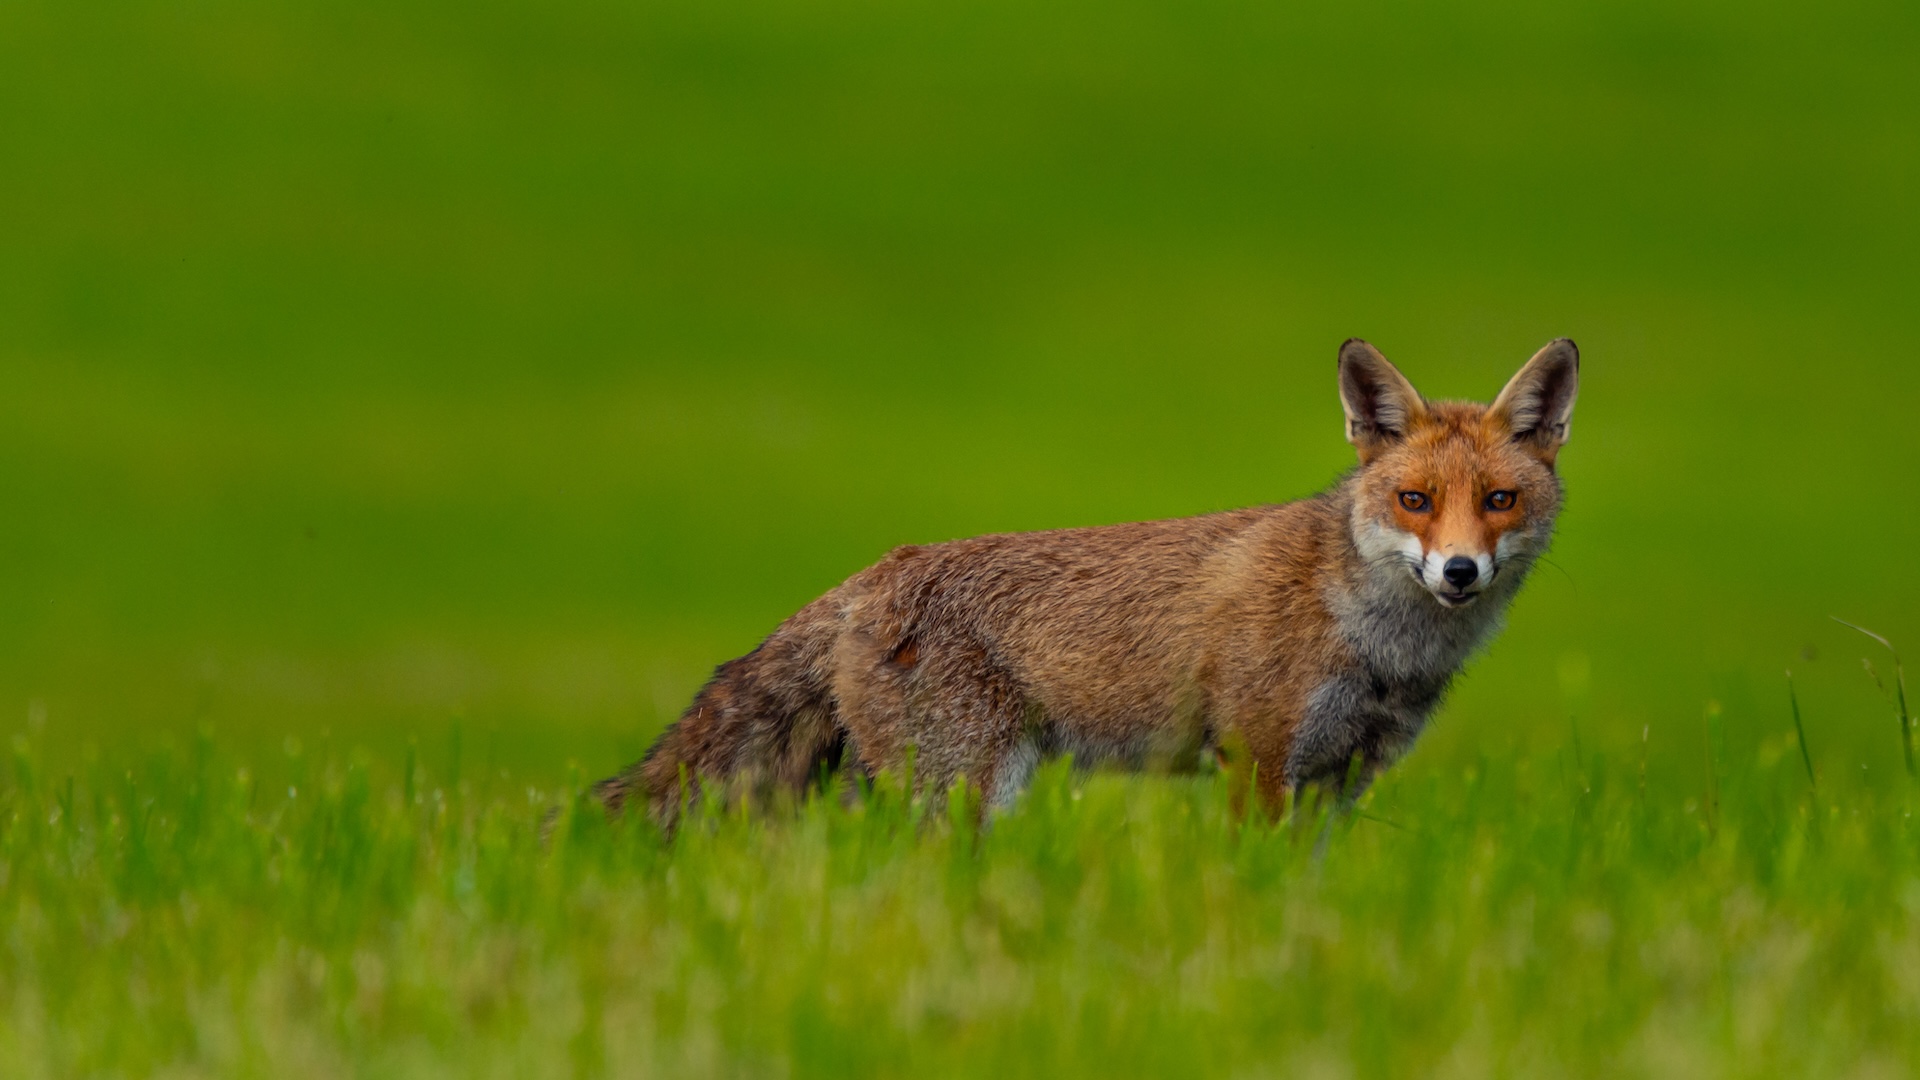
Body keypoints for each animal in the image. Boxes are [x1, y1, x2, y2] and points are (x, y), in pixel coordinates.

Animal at [599, 340, 1574, 818]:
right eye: (1415, 500)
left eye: (1498, 501)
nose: (1459, 571)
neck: (1377, 643)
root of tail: (876, 569)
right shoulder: (1257, 761)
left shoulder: (1342, 780)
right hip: (963, 791)